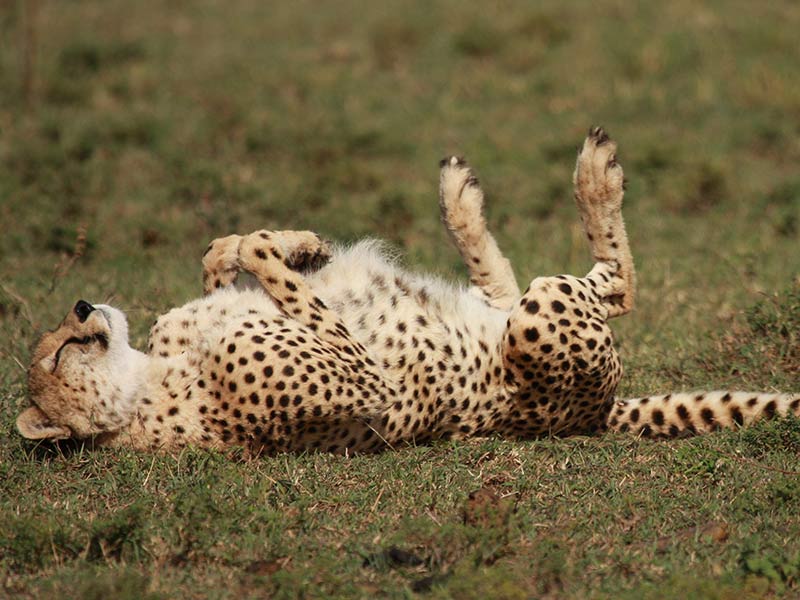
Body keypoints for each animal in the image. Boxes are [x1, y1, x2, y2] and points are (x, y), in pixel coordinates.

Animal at [15, 129, 796, 452]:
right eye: (55, 356)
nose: (83, 307)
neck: (149, 385)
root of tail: (596, 416)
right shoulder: (366, 382)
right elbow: (270, 270)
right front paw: (274, 247)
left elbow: (222, 263)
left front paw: (287, 245)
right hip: (542, 321)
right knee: (612, 287)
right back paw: (593, 175)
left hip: (518, 312)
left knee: (509, 284)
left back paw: (462, 194)